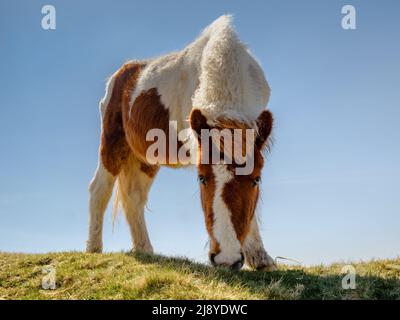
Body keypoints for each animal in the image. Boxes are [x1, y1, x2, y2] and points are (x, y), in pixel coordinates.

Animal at [86, 14, 276, 270]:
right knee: (99, 190)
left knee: (134, 197)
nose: (226, 259)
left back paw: (144, 250)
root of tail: (123, 73)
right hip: (113, 144)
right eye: (201, 178)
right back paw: (93, 250)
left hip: (145, 159)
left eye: (256, 180)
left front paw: (261, 258)